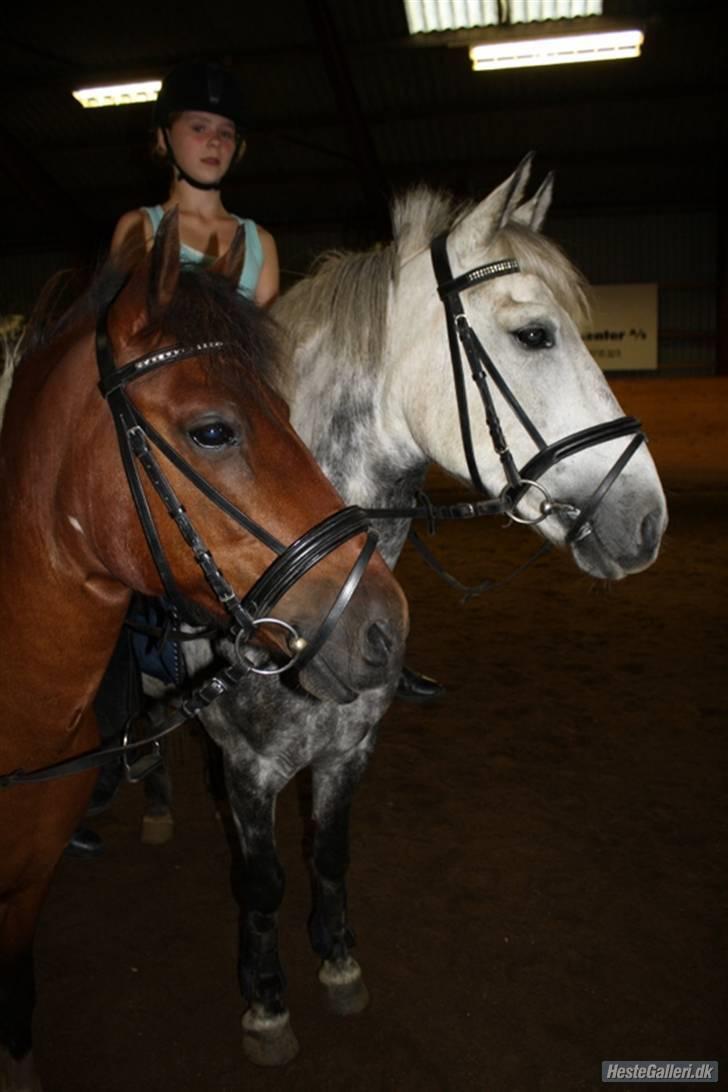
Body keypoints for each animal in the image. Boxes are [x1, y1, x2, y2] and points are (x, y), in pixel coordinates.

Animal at [174, 157, 668, 1067]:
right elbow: (261, 882)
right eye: (534, 336)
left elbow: (330, 855)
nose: (648, 521)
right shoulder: (251, 767)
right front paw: (266, 1003)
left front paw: (338, 963)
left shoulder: (352, 747)